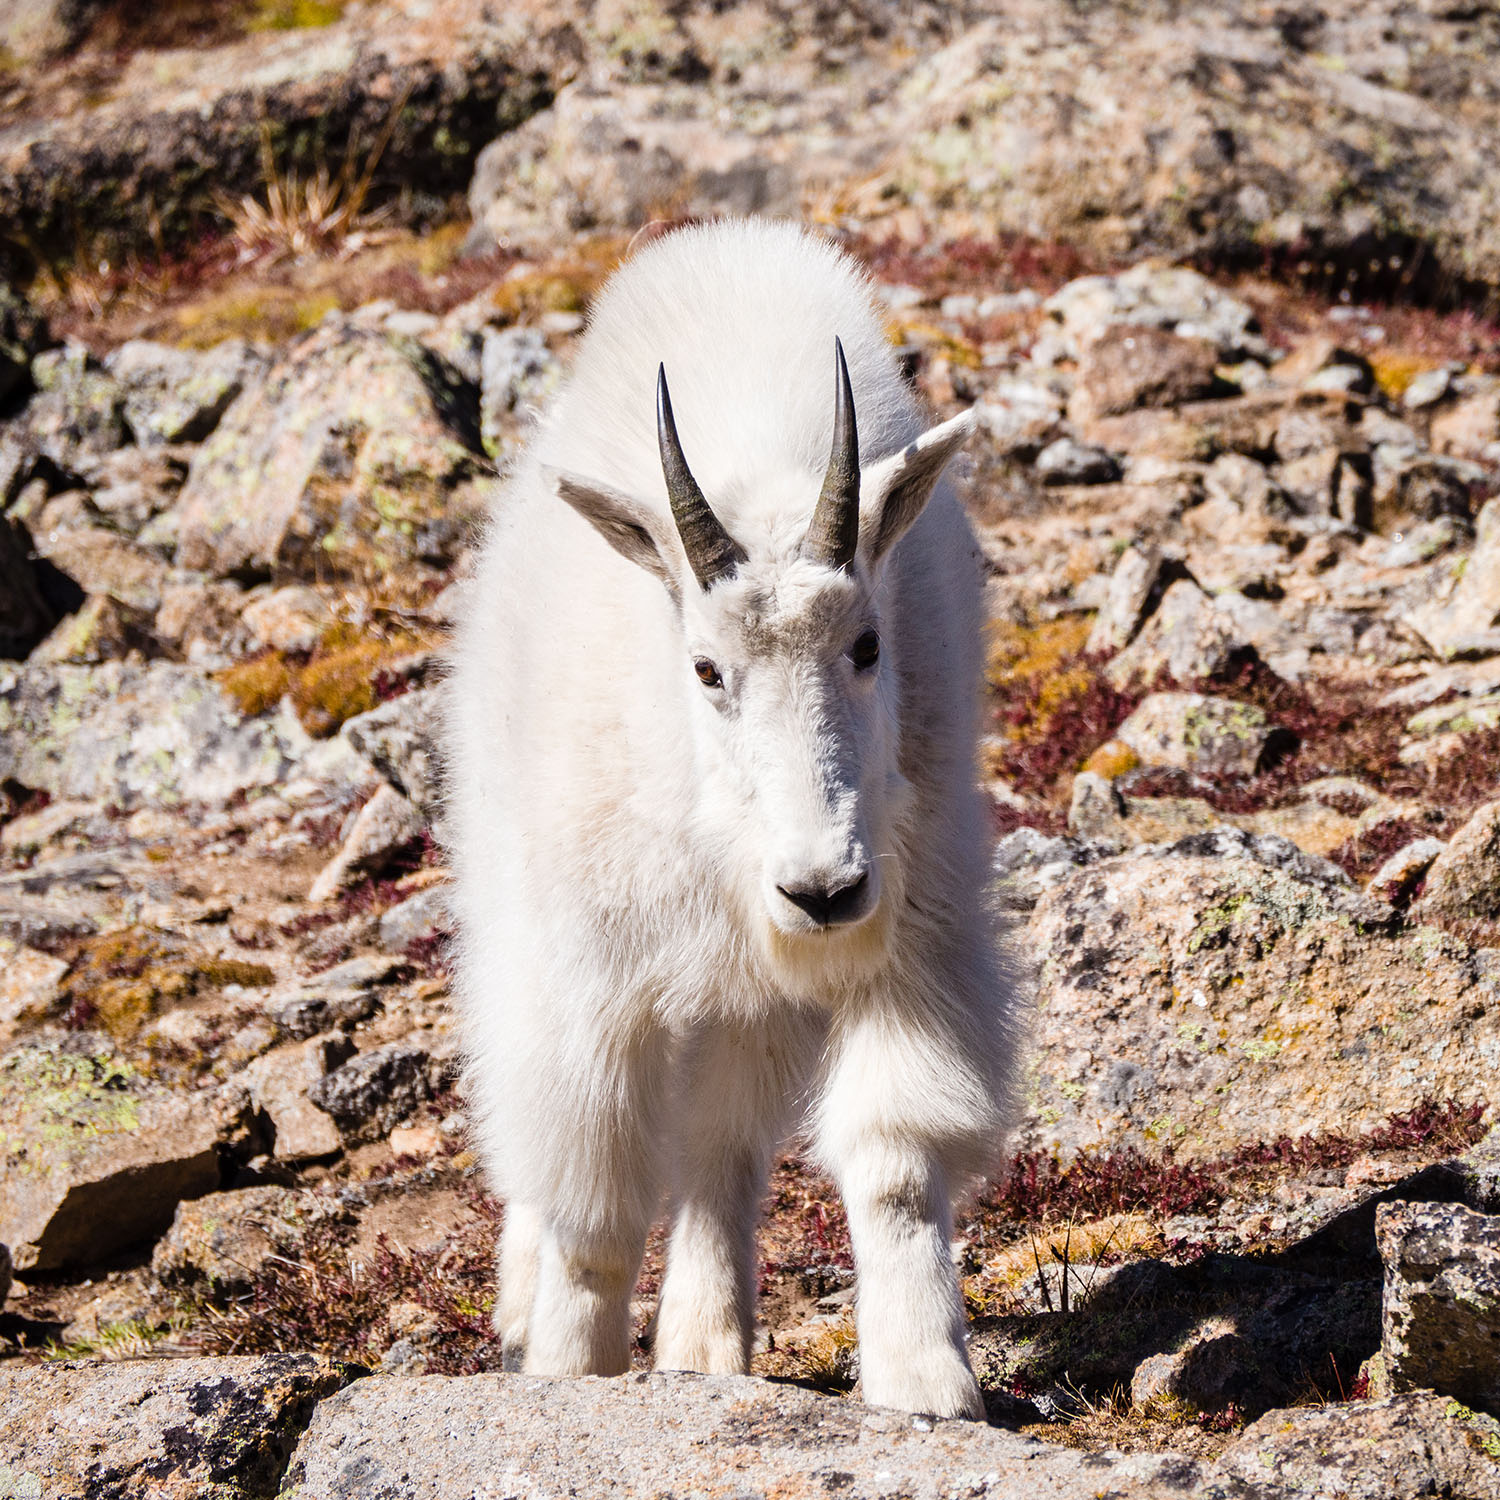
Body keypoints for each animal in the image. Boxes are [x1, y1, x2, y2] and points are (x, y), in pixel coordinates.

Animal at [444, 219, 1026, 1416]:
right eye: (707, 668)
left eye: (869, 645)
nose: (821, 890)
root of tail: (727, 242)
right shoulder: (593, 974)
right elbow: (595, 1209)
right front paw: (568, 1372)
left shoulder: (909, 928)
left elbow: (895, 1163)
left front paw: (927, 1383)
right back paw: (529, 1305)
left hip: (745, 995)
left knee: (720, 1151)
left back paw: (705, 1352)